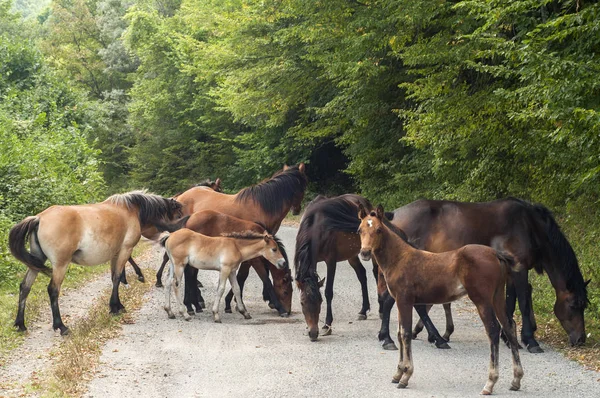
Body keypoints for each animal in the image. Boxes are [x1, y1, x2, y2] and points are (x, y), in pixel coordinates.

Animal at [8, 191, 183, 334]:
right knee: (53, 290)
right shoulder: (125, 250)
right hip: (60, 265)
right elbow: (117, 277)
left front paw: (117, 305)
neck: (131, 209)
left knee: (25, 287)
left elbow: (115, 278)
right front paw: (115, 307)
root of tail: (39, 218)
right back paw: (61, 326)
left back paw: (20, 324)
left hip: (36, 262)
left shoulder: (115, 253)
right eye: (180, 214)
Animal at [172, 162, 304, 314]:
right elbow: (257, 276)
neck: (263, 206)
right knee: (190, 272)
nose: (297, 210)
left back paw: (195, 303)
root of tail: (179, 199)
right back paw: (193, 303)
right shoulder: (254, 254)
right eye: (287, 292)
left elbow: (243, 275)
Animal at [358, 205, 524, 394]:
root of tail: (495, 253)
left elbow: (406, 334)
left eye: (378, 229)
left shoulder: (404, 300)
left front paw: (406, 376)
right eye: (360, 230)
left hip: (482, 299)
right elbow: (400, 334)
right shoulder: (401, 302)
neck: (399, 258)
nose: (365, 253)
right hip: (497, 296)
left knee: (493, 330)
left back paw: (490, 383)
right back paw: (516, 380)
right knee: (509, 326)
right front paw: (398, 373)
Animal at [380, 197, 592, 352]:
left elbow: (509, 303)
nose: (581, 339)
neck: (530, 225)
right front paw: (530, 341)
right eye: (574, 305)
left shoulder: (509, 271)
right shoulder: (519, 268)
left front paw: (509, 336)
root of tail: (393, 215)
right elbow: (522, 302)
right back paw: (394, 338)